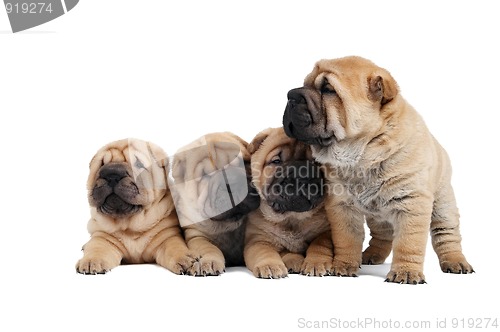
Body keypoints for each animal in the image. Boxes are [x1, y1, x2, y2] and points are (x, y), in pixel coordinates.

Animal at [75, 137, 194, 274]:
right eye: (101, 164)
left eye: (138, 165)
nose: (112, 174)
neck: (130, 226)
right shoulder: (102, 236)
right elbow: (97, 248)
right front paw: (91, 261)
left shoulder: (167, 235)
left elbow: (175, 246)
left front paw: (186, 260)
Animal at [170, 132, 260, 274]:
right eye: (205, 176)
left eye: (244, 162)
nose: (232, 183)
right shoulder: (196, 235)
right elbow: (209, 248)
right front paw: (209, 262)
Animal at [242, 127, 332, 278]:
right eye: (276, 161)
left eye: (315, 162)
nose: (302, 173)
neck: (292, 218)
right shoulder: (258, 240)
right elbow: (265, 252)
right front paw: (271, 266)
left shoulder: (326, 231)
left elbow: (320, 245)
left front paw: (316, 263)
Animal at [284, 55, 474, 284]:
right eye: (305, 84)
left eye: (328, 90)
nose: (291, 95)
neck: (364, 152)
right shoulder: (342, 206)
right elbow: (347, 239)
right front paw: (343, 266)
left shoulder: (412, 203)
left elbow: (408, 243)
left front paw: (406, 272)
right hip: (378, 216)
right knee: (383, 235)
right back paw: (370, 255)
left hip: (443, 203)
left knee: (446, 235)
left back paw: (456, 262)